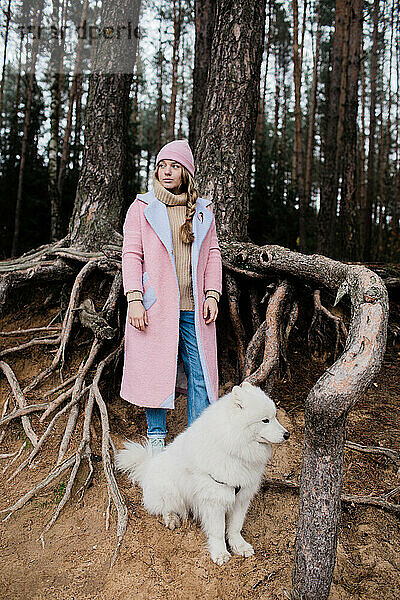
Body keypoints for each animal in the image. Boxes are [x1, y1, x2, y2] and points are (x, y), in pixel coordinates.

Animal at [114, 382, 290, 564]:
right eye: (265, 420)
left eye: (275, 417)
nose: (287, 434)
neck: (233, 448)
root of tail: (148, 466)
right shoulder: (215, 499)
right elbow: (218, 531)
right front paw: (220, 553)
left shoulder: (241, 497)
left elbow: (235, 527)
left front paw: (239, 546)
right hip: (170, 491)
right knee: (164, 508)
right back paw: (172, 519)